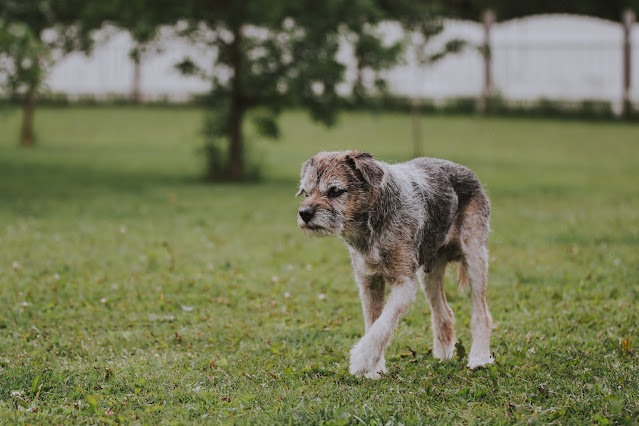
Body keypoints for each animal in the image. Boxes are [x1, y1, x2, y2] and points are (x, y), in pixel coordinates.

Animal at [296, 151, 496, 380]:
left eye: (335, 190)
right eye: (306, 192)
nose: (304, 213)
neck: (371, 224)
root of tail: (467, 171)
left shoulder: (404, 284)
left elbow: (384, 323)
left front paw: (362, 360)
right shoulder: (369, 282)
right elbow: (373, 322)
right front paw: (374, 369)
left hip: (475, 257)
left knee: (481, 312)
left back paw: (479, 358)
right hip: (429, 273)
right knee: (444, 314)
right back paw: (443, 357)